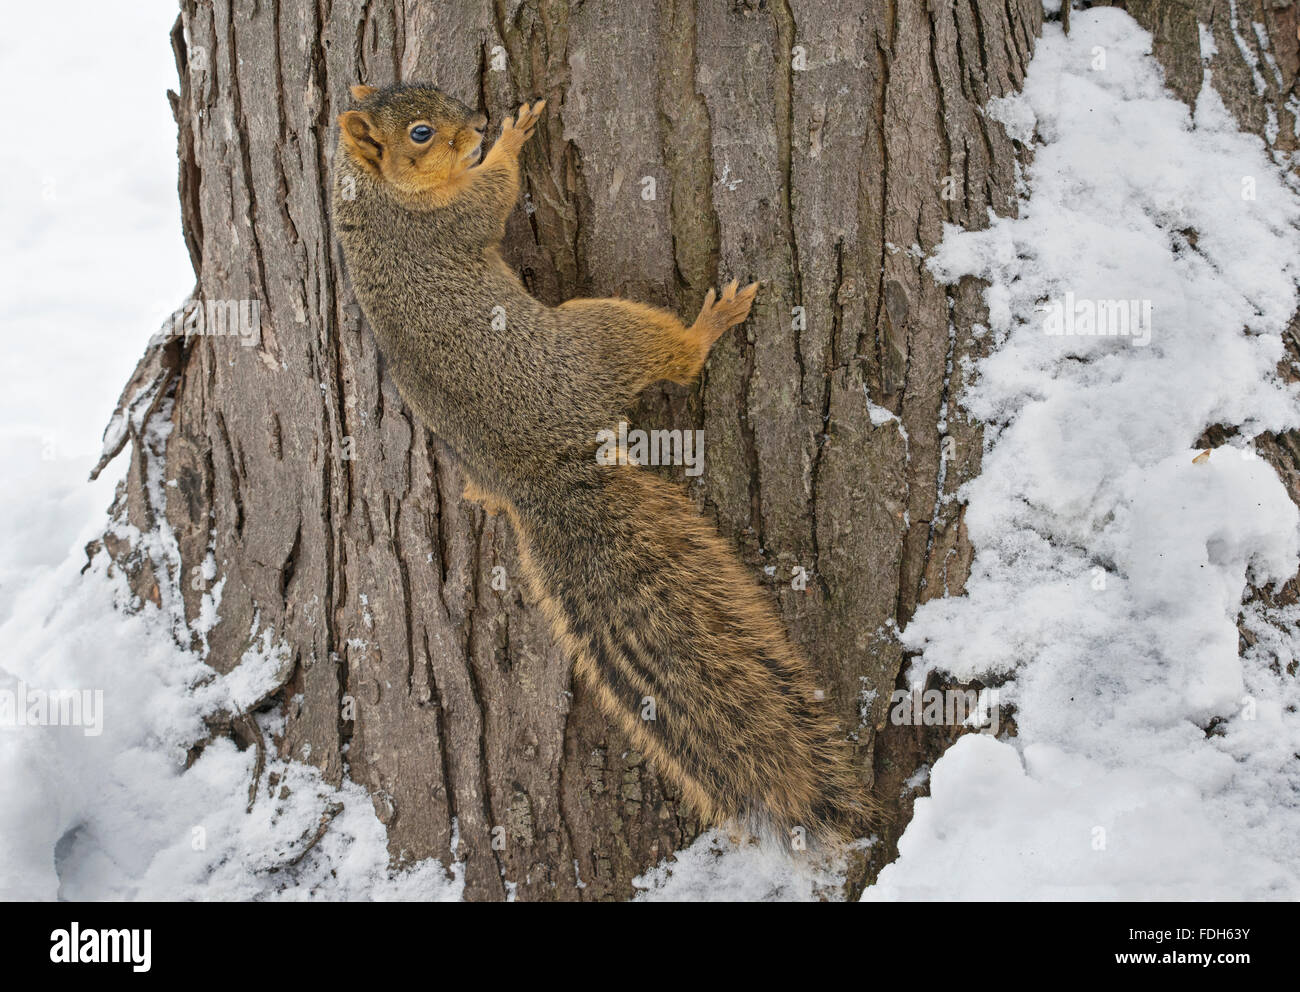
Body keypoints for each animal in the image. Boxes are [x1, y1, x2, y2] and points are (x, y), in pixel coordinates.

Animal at [330, 83, 868, 847]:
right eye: (422, 132)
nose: (477, 125)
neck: (371, 193)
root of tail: (538, 478)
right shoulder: (445, 221)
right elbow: (492, 196)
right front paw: (512, 140)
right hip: (600, 334)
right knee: (675, 358)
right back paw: (711, 323)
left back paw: (484, 496)